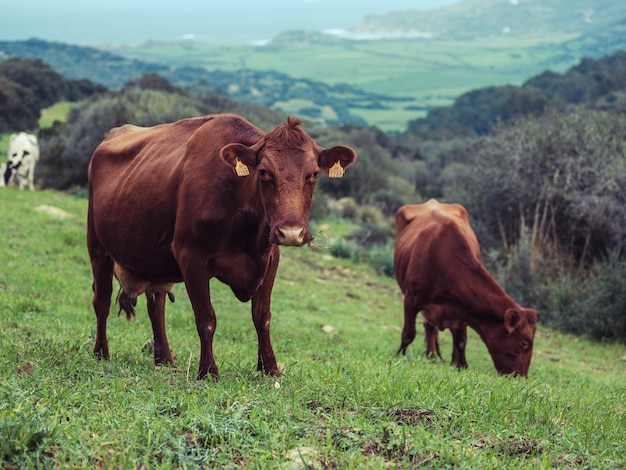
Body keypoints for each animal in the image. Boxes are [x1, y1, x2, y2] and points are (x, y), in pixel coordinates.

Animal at [86, 115, 356, 380]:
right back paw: (101, 353)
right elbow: (206, 317)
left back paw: (165, 360)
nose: (290, 232)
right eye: (264, 172)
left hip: (153, 260)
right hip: (97, 244)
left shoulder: (270, 258)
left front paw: (270, 368)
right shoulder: (190, 256)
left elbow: (262, 316)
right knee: (102, 300)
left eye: (314, 174)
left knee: (156, 306)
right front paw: (208, 371)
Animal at [392, 200, 532, 376]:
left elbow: (461, 341)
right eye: (524, 343)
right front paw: (399, 356)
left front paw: (461, 366)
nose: (520, 376)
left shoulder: (463, 308)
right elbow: (408, 334)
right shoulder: (411, 299)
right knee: (429, 327)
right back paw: (431, 356)